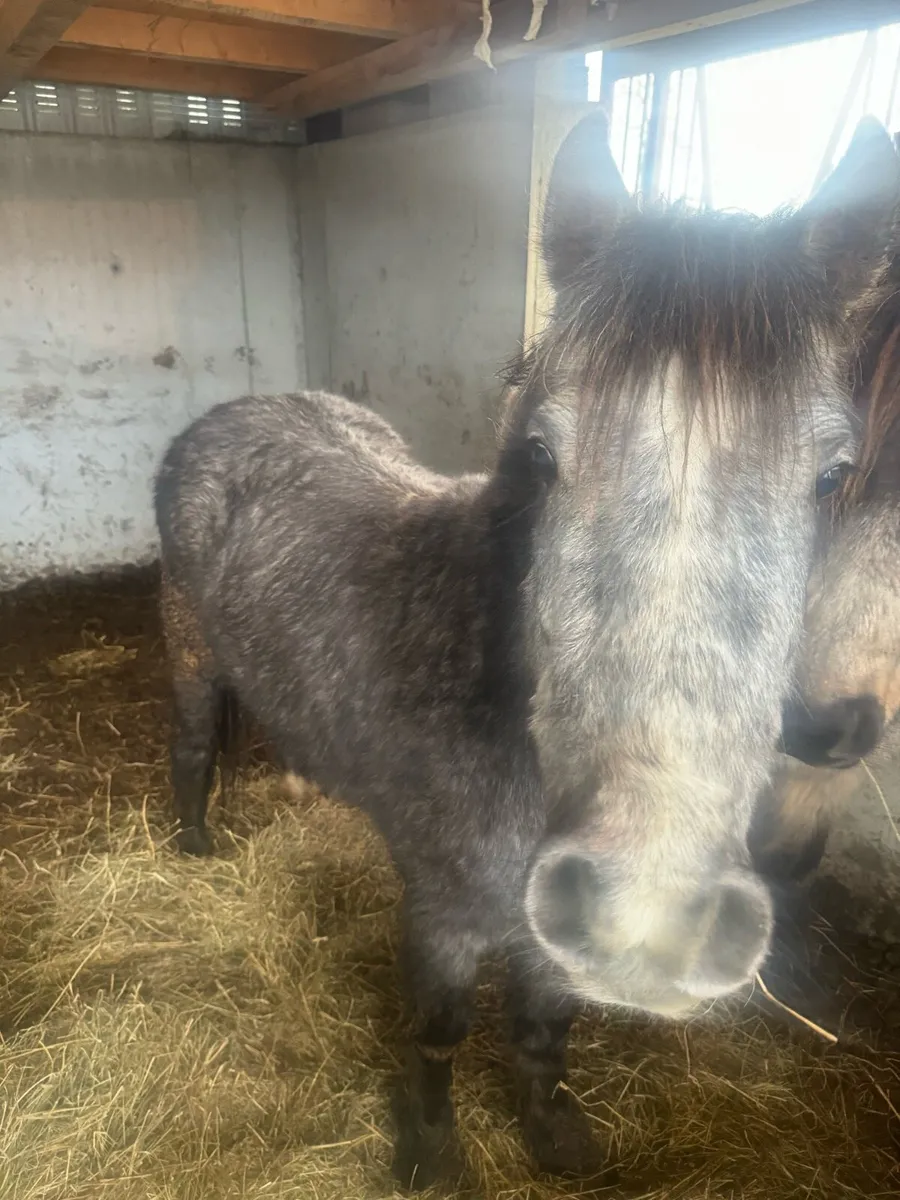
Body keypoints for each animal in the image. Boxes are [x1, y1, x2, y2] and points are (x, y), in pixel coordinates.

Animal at [153, 113, 900, 1189]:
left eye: (834, 476)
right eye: (543, 456)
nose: (652, 915)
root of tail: (240, 411)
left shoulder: (552, 928)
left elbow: (545, 1031)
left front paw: (552, 1133)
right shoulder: (443, 912)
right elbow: (437, 1032)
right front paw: (428, 1150)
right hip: (187, 654)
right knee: (192, 745)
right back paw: (194, 842)